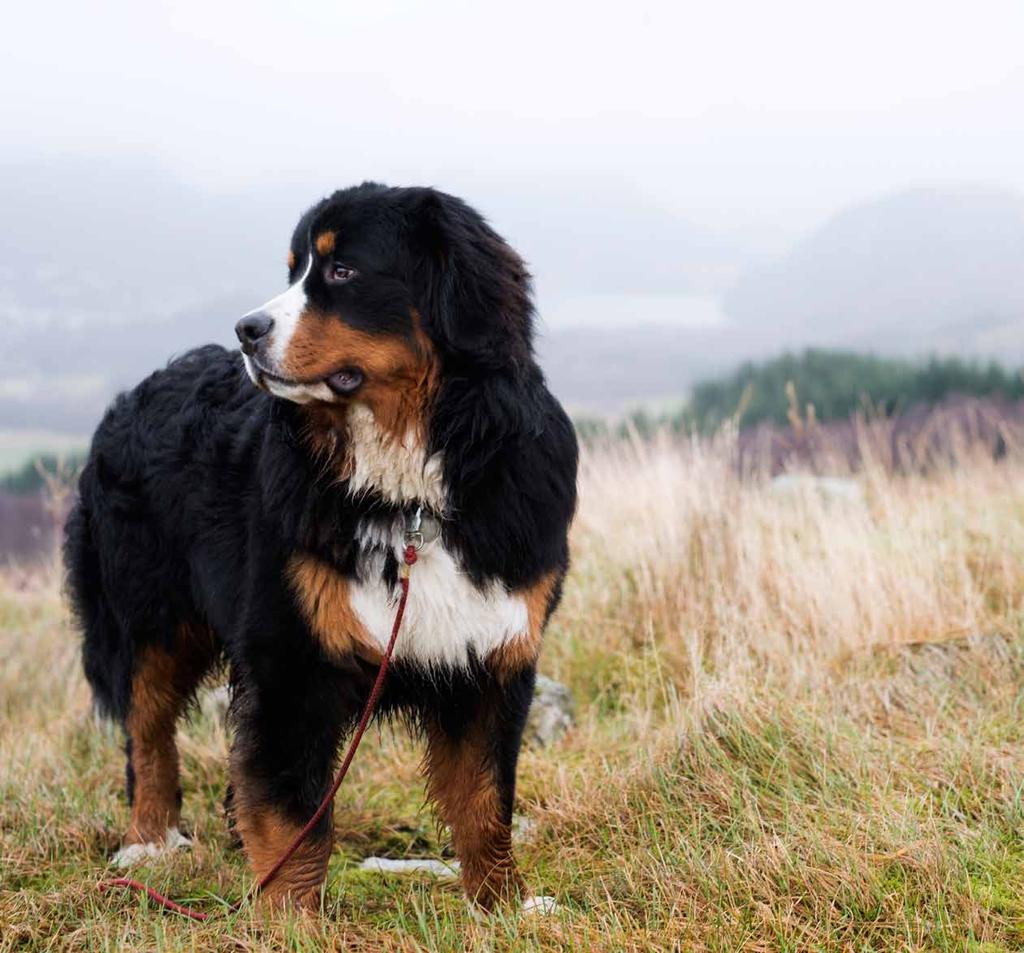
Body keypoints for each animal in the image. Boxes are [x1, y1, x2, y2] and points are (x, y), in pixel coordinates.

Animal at [61, 182, 577, 913]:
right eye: (292, 270)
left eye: (341, 270)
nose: (246, 330)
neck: (407, 492)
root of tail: (136, 392)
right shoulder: (291, 655)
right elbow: (293, 811)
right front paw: (291, 916)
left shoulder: (493, 651)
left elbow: (483, 802)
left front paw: (503, 906)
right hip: (148, 617)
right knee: (149, 730)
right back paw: (150, 843)